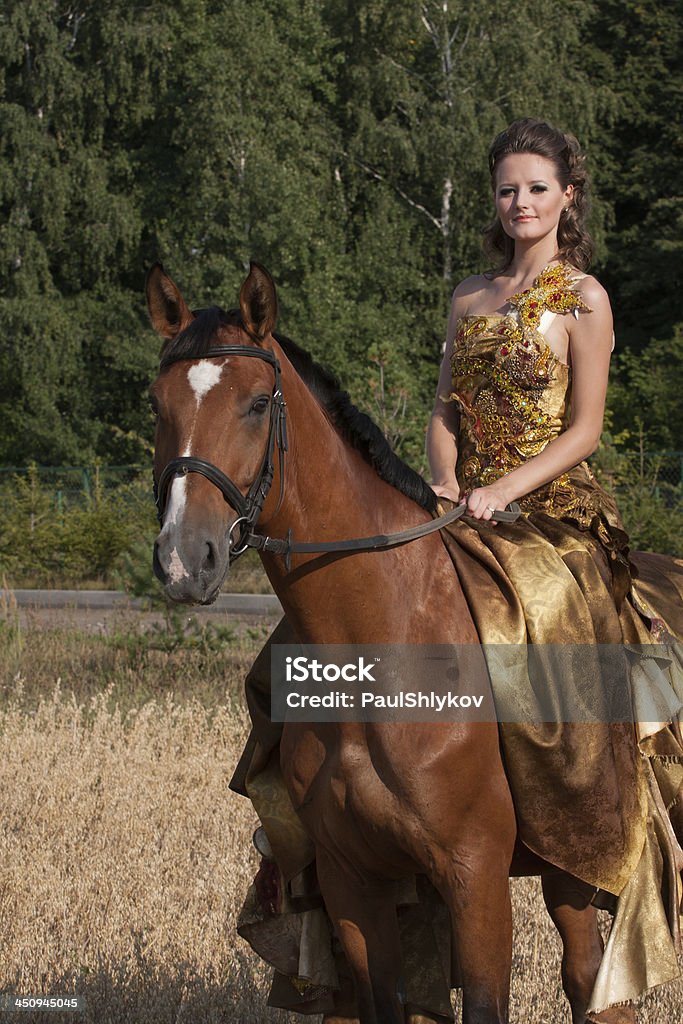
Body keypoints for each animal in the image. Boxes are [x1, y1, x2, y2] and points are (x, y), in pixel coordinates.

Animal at [148, 262, 634, 1024]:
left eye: (256, 404)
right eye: (156, 406)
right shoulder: (355, 881)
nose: (181, 560)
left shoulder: (474, 874)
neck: (382, 649)